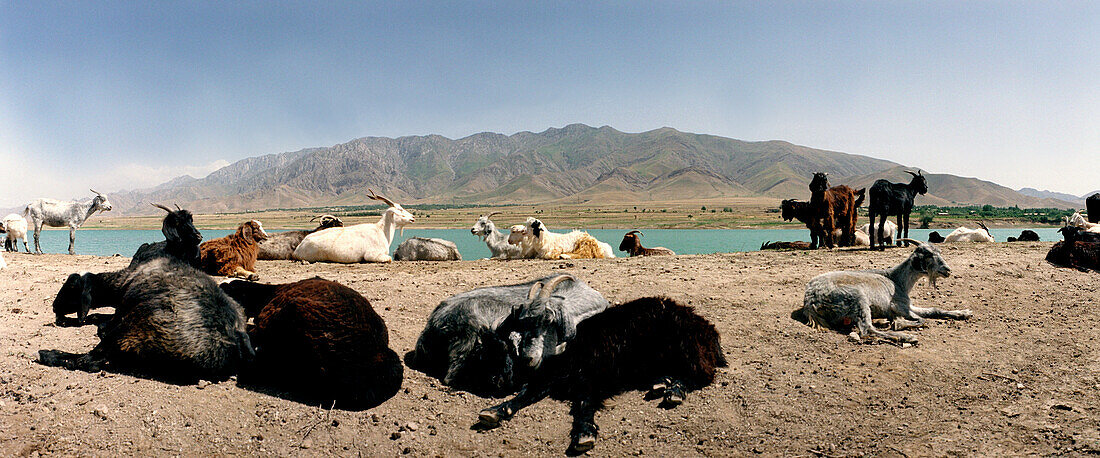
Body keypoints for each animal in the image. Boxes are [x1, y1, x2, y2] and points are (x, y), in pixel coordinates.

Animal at [38, 257, 253, 383]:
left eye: (71, 287)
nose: (54, 307)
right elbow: (98, 317)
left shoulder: (123, 313)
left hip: (130, 332)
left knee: (88, 360)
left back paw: (48, 354)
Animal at [475, 297, 726, 453]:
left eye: (503, 350)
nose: (493, 383)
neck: (568, 348)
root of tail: (707, 328)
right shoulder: (553, 378)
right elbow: (526, 394)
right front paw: (495, 411)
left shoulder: (594, 378)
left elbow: (585, 403)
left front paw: (585, 433)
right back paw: (660, 384)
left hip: (689, 349)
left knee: (700, 375)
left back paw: (674, 391)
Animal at [792, 240, 972, 343]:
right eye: (928, 255)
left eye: (939, 252)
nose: (947, 270)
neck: (896, 279)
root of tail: (810, 300)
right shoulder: (897, 306)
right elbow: (921, 319)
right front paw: (899, 324)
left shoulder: (908, 305)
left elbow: (934, 310)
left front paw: (964, 312)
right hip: (857, 298)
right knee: (866, 329)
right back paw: (906, 337)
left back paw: (883, 322)